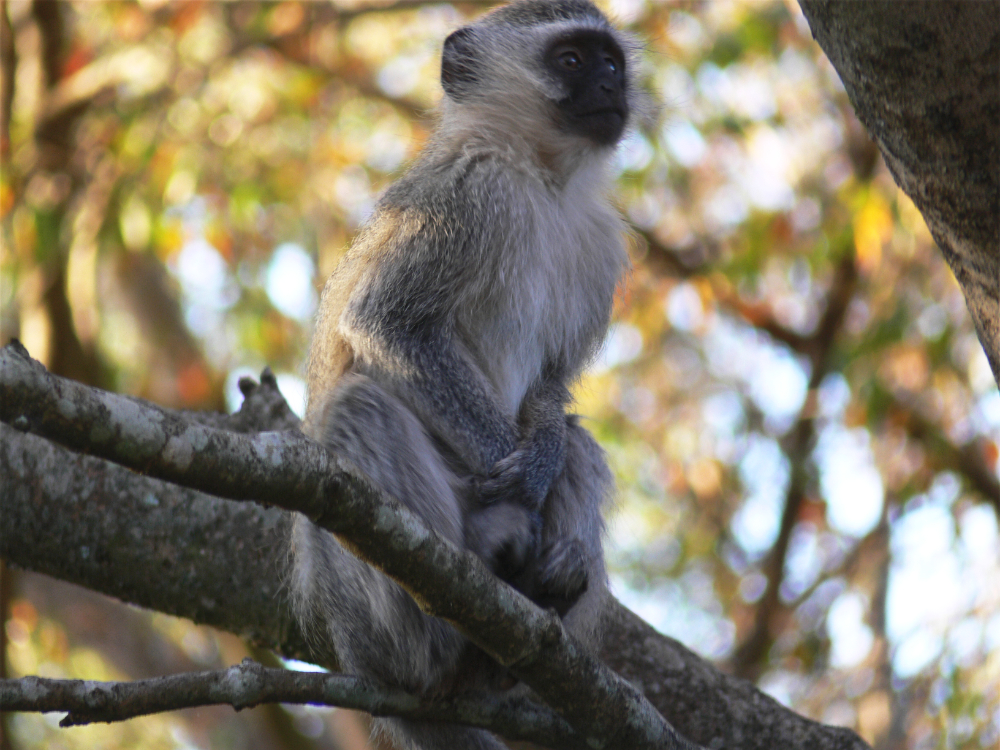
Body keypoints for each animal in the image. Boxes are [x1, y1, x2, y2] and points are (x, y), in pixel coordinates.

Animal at [289, 1, 650, 748]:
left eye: (610, 61)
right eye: (572, 60)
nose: (610, 87)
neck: (542, 178)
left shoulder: (597, 243)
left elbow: (551, 389)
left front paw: (542, 454)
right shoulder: (464, 196)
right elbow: (386, 323)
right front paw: (523, 478)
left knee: (579, 440)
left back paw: (546, 590)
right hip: (364, 612)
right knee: (360, 407)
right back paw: (478, 562)